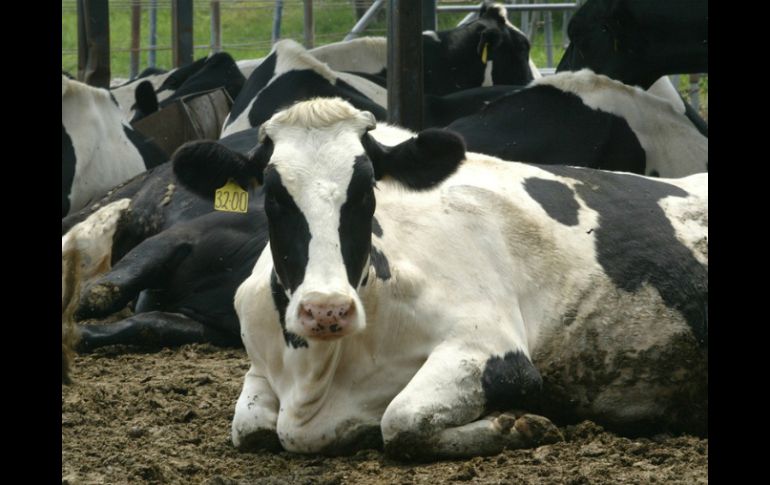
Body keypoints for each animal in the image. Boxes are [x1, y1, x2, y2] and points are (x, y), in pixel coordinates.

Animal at [171, 97, 704, 458]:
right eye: (275, 197)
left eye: (367, 190)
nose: (326, 309)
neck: (319, 373)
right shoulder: (261, 368)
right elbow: (250, 428)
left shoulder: (495, 350)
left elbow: (401, 421)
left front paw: (520, 424)